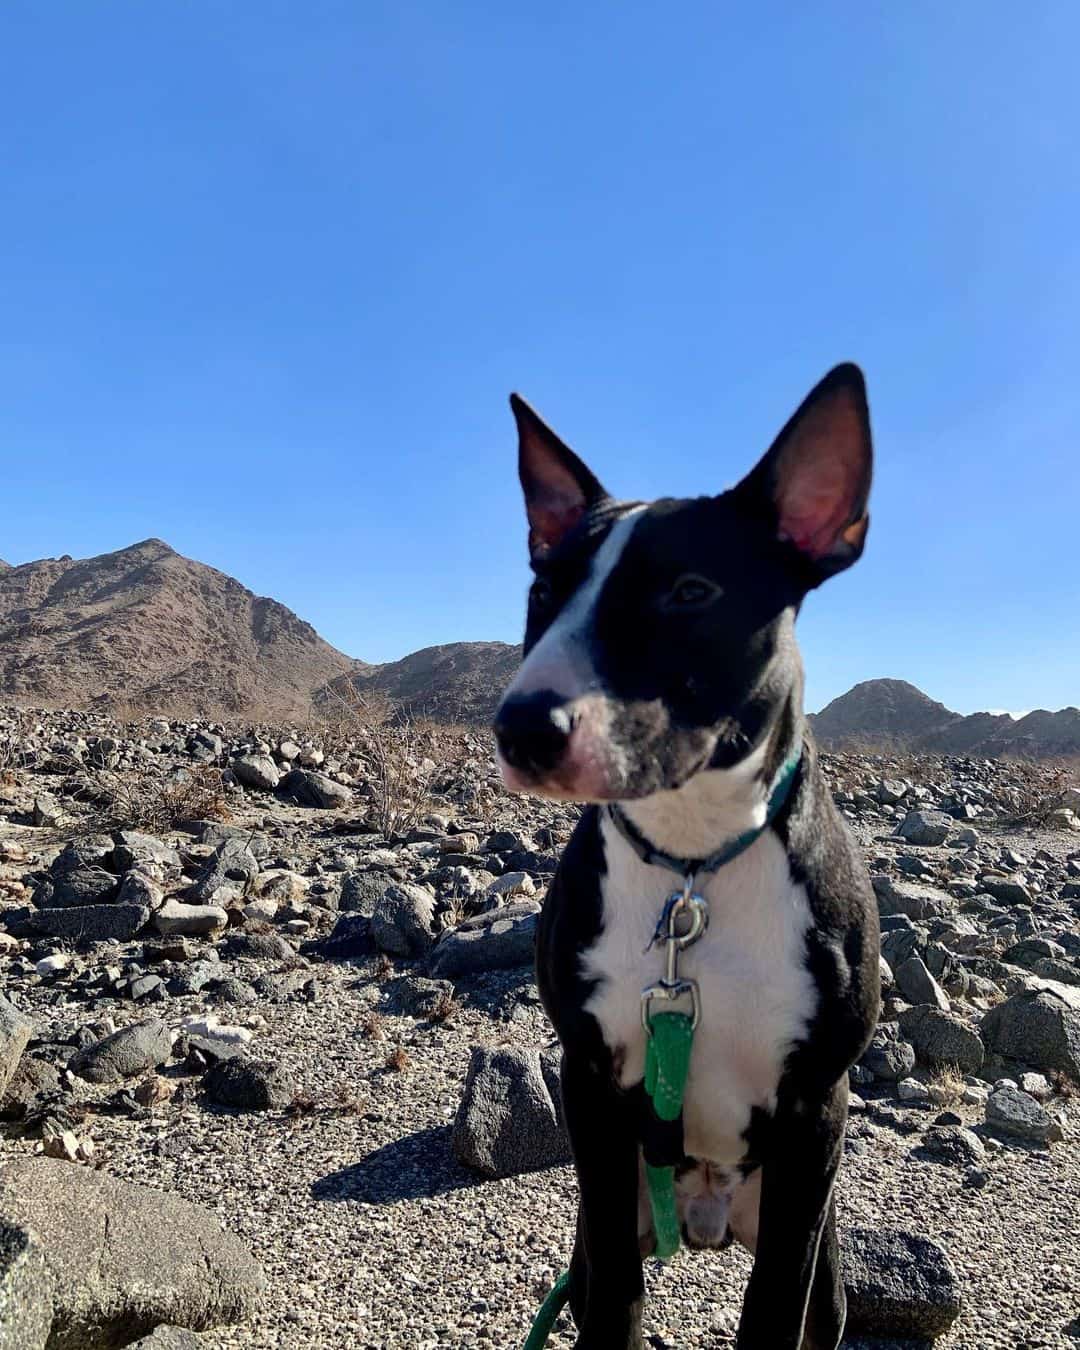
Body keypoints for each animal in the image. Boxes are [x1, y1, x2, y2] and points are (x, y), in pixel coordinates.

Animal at [494, 361, 880, 1350]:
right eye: (544, 590)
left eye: (691, 593)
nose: (522, 725)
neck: (692, 862)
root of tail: (705, 1214)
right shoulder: (590, 1088)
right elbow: (618, 1293)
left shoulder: (815, 1113)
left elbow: (773, 1302)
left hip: (824, 1253)